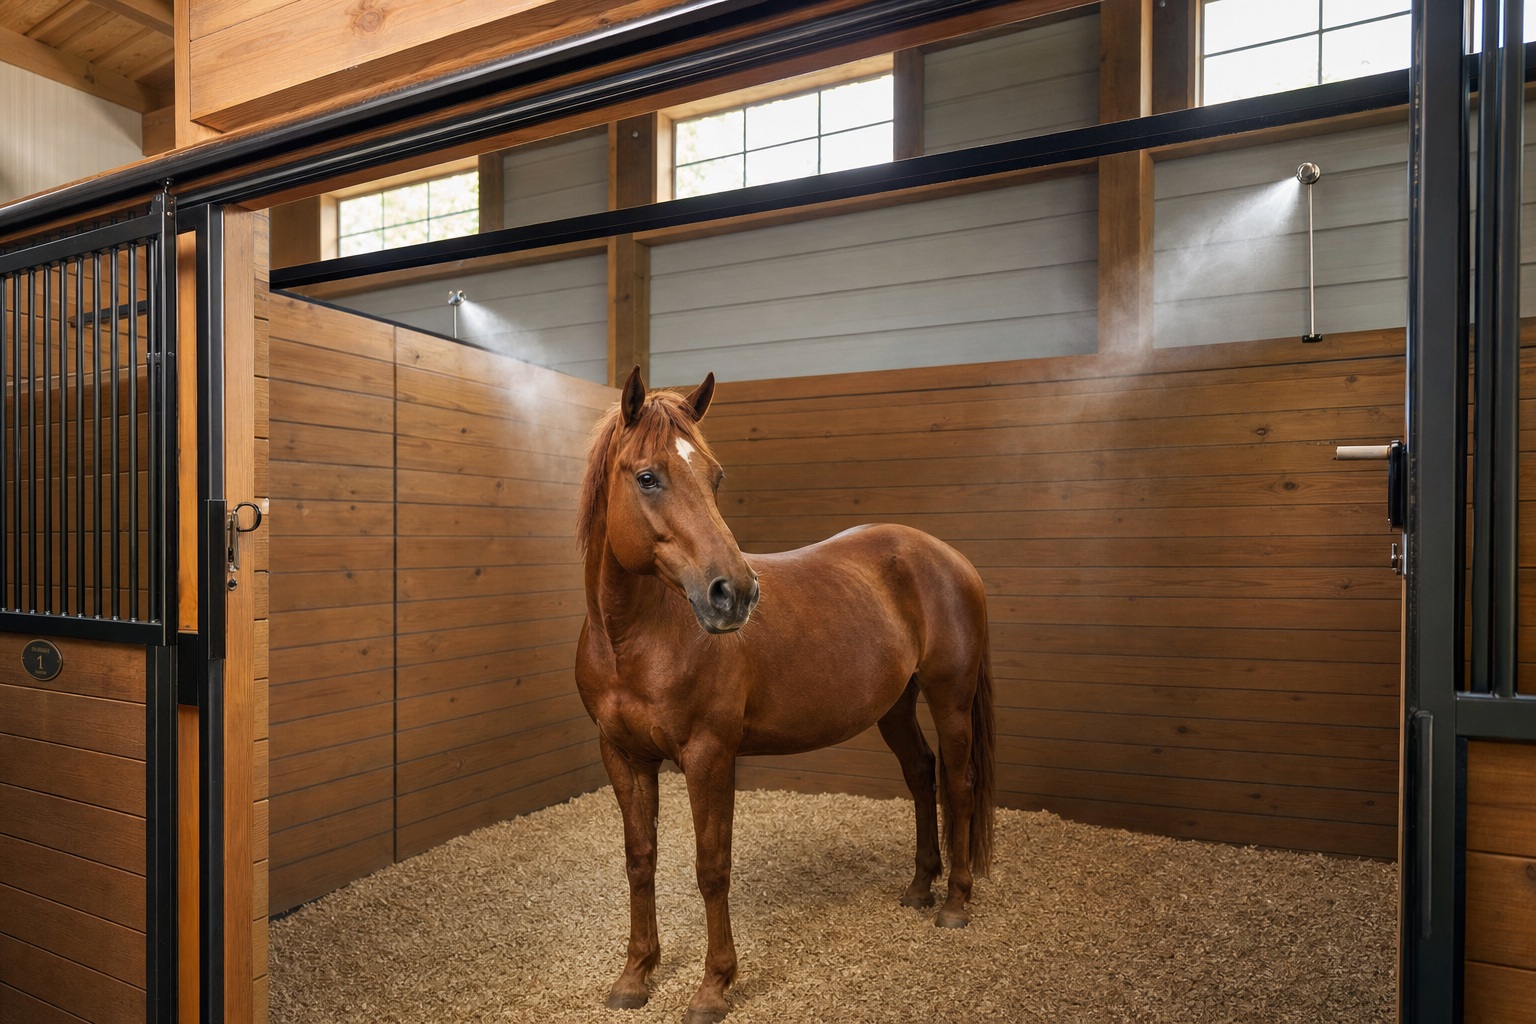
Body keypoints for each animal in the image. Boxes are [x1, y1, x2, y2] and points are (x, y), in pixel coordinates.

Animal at [574, 367, 995, 1023]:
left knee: (958, 782)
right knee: (921, 774)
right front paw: (636, 974)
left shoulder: (709, 756)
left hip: (949, 699)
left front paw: (714, 987)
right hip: (895, 706)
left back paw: (954, 904)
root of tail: (947, 556)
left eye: (715, 476)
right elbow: (639, 860)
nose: (735, 593)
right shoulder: (622, 755)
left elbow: (711, 866)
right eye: (647, 477)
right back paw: (919, 887)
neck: (634, 639)